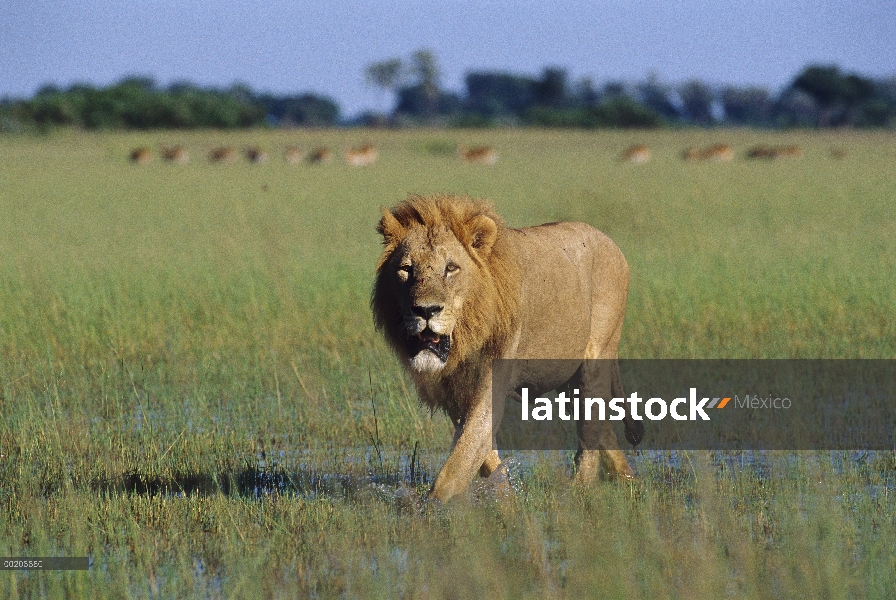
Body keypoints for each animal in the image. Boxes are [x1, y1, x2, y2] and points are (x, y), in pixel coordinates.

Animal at [372, 195, 644, 500]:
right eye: (406, 269)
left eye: (451, 268)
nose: (425, 310)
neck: (466, 337)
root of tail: (608, 241)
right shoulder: (456, 391)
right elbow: (481, 455)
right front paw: (505, 499)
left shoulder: (492, 381)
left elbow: (457, 464)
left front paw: (432, 508)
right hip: (569, 378)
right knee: (602, 430)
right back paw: (627, 480)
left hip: (597, 356)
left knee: (589, 435)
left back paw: (580, 493)